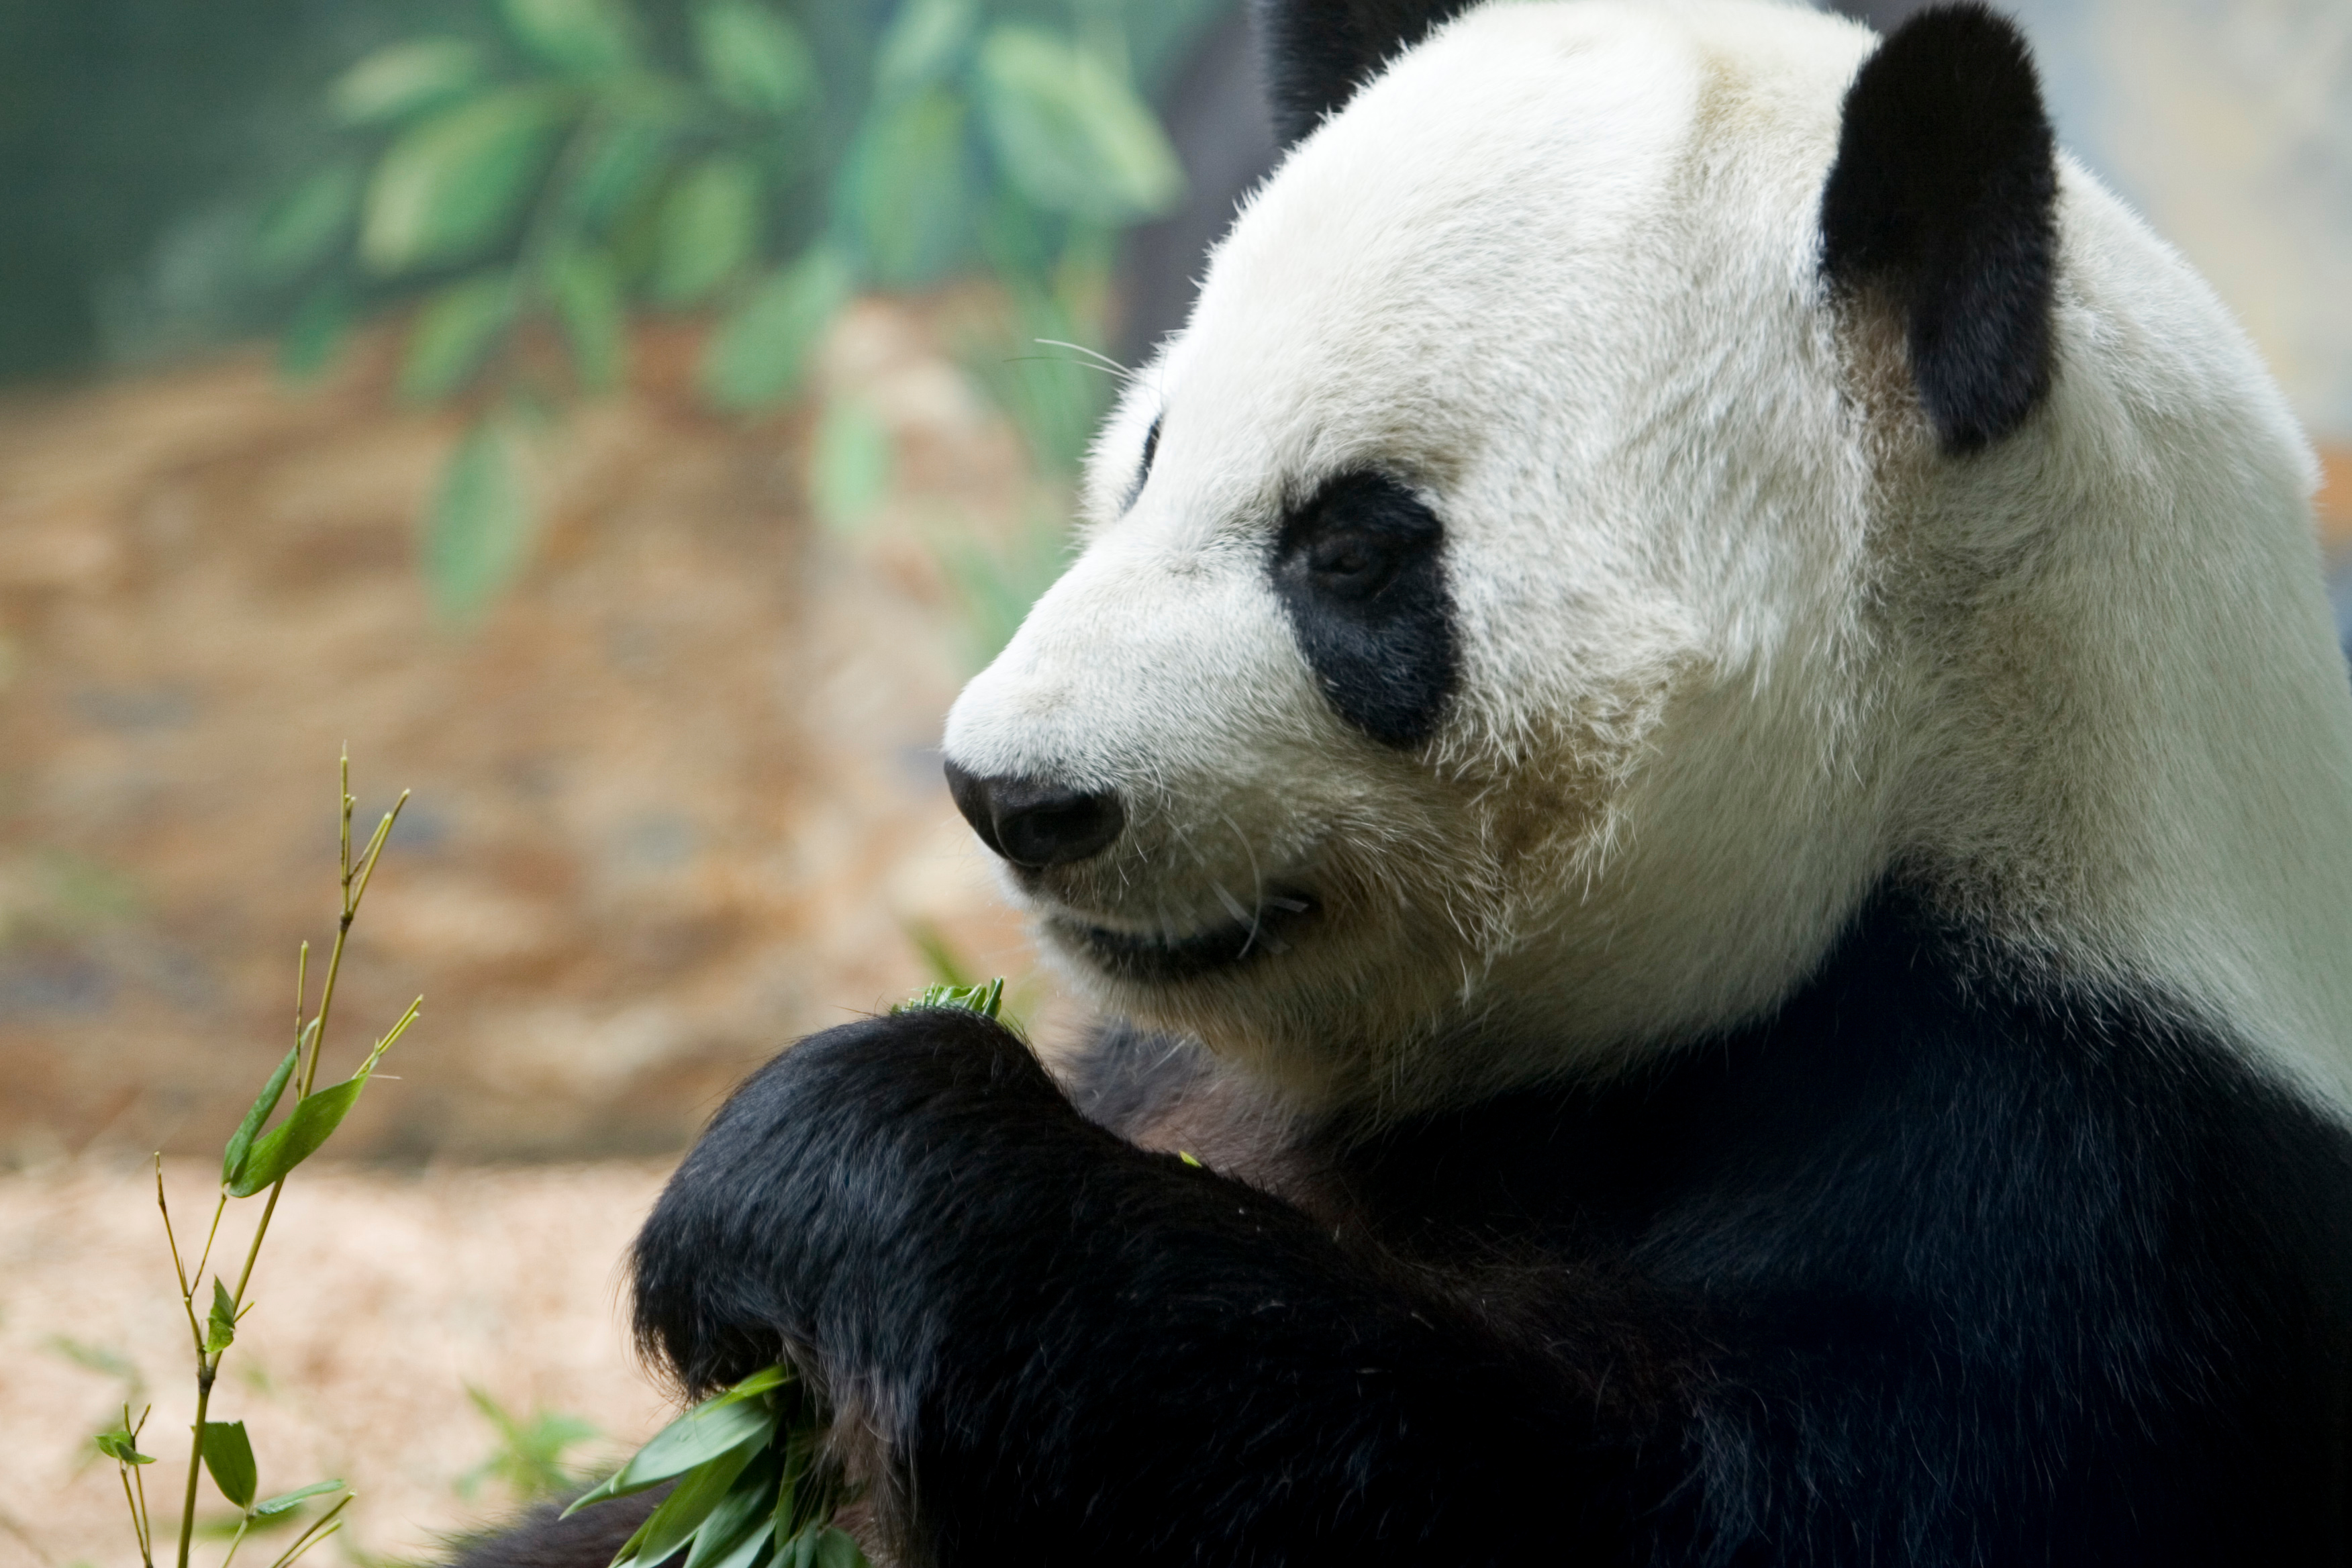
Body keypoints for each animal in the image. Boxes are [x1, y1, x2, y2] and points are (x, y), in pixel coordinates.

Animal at [490, 1, 2352, 1563]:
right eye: (1150, 459)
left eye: (1352, 547)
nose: (1010, 791)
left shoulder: (2083, 1193)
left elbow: (1630, 1484)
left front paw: (837, 1165)